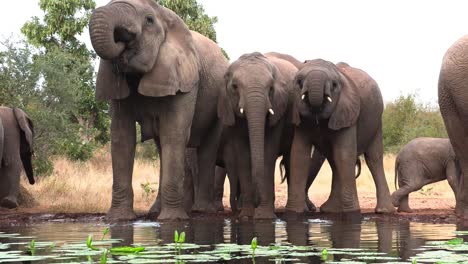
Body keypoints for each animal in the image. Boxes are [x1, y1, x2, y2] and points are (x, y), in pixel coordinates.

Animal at [88, 0, 228, 221]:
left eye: (149, 20)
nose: (121, 40)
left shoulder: (185, 79)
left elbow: (174, 133)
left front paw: (172, 220)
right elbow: (122, 137)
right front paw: (118, 219)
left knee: (207, 147)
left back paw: (202, 212)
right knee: (162, 148)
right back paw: (157, 211)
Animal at [218, 51, 298, 219]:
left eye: (271, 88)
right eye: (235, 87)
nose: (257, 201)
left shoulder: (278, 108)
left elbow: (268, 152)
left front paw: (264, 217)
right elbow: (242, 155)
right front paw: (246, 216)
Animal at [286, 59, 394, 214]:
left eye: (334, 85)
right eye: (299, 82)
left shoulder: (348, 112)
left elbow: (345, 155)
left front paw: (352, 213)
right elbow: (299, 155)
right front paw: (294, 212)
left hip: (376, 121)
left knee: (374, 158)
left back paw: (383, 211)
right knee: (334, 160)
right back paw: (331, 210)